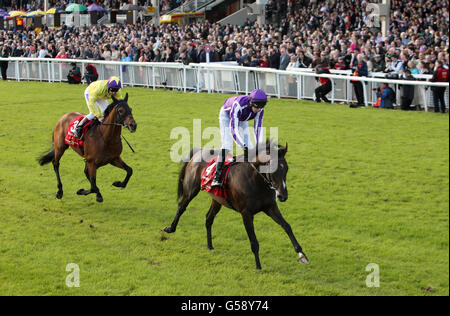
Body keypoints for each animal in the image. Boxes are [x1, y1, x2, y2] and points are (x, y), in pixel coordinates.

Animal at [164, 141, 310, 270]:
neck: (256, 180)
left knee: (208, 218)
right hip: (190, 190)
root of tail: (198, 151)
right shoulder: (246, 214)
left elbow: (287, 226)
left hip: (217, 199)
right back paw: (170, 228)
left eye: (286, 168)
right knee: (181, 207)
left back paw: (210, 246)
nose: (282, 196)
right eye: (272, 168)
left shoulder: (270, 207)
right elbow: (254, 241)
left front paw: (302, 255)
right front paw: (258, 266)